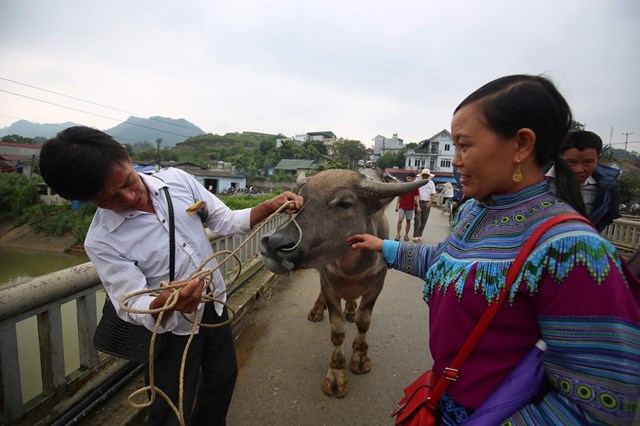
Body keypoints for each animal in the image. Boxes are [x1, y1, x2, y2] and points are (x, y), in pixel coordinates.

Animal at [258, 168, 428, 398]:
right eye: (301, 200)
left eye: (345, 203)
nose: (273, 244)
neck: (352, 269)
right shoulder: (328, 285)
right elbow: (337, 331)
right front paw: (337, 374)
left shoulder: (377, 286)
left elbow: (363, 321)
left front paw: (360, 358)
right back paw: (317, 311)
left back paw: (350, 310)